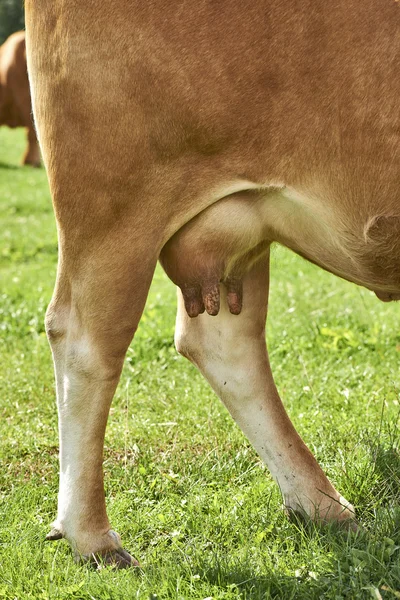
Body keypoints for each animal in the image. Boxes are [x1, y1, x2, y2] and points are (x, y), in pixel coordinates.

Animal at [24, 0, 400, 568]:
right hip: (113, 204)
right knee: (84, 341)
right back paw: (93, 538)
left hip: (237, 229)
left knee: (224, 345)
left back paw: (321, 504)